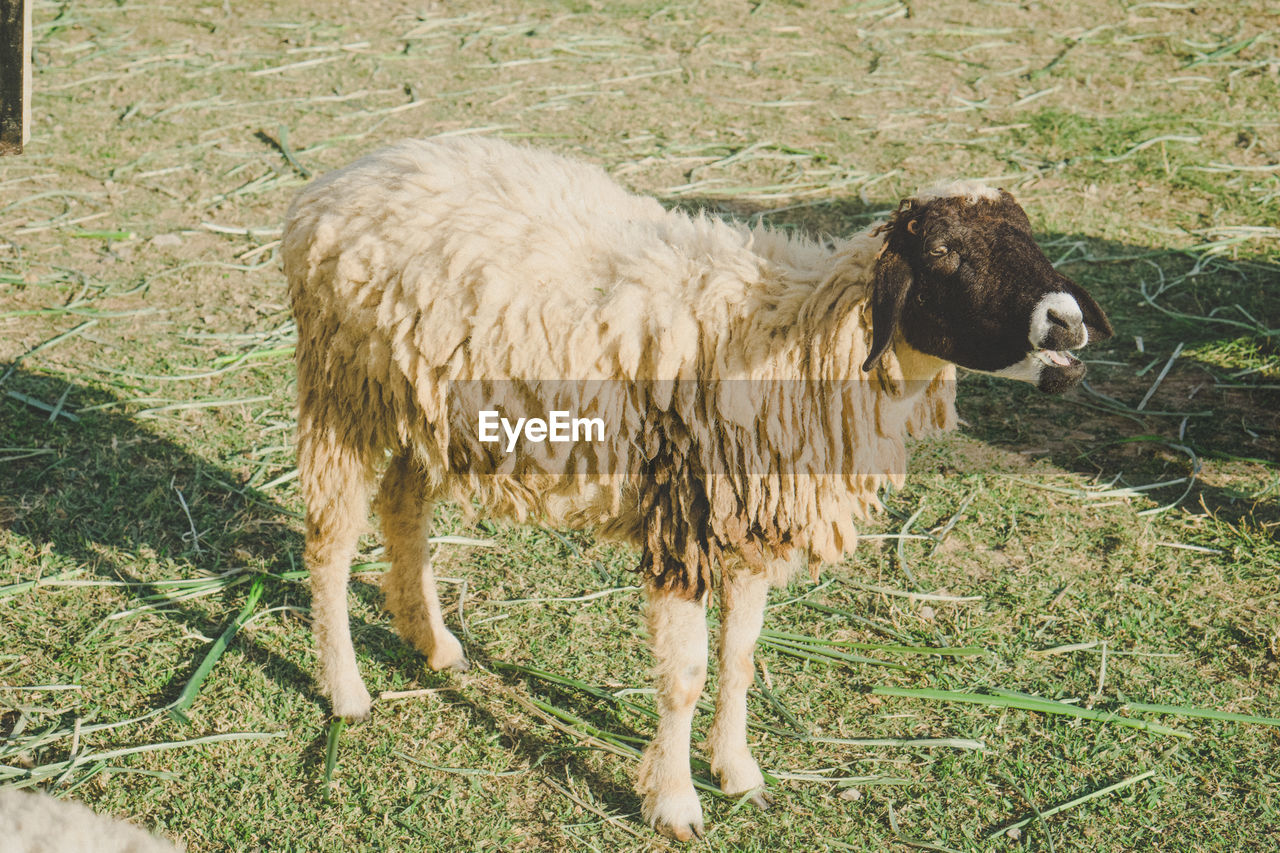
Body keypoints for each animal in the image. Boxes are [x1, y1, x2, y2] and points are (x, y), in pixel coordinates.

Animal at [282, 134, 1111, 835]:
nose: (1067, 323)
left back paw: (434, 642)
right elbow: (684, 674)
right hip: (340, 391)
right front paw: (676, 803)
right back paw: (346, 690)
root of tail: (343, 177)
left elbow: (741, 658)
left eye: (1030, 236)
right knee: (330, 540)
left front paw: (738, 770)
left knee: (403, 508)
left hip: (424, 405)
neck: (803, 336)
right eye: (944, 254)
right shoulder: (681, 518)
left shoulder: (750, 521)